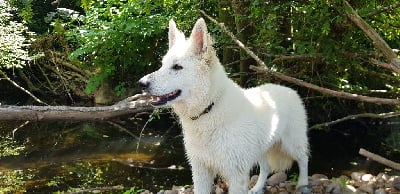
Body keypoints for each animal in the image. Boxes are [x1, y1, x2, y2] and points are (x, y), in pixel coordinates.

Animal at [139, 18, 310, 194]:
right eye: (162, 65)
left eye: (177, 67)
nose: (142, 83)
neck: (209, 108)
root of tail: (289, 90)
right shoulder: (200, 171)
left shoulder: (236, 174)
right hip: (261, 149)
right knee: (266, 167)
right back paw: (257, 188)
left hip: (292, 143)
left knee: (304, 159)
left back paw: (302, 185)